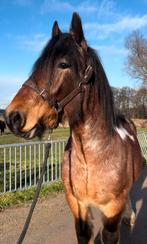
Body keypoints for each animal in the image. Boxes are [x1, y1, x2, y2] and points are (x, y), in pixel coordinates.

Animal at [4, 12, 142, 244]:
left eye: (63, 64)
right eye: (38, 65)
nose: (12, 116)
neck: (91, 158)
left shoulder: (111, 211)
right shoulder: (78, 207)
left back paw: (130, 216)